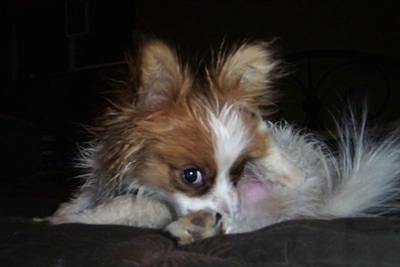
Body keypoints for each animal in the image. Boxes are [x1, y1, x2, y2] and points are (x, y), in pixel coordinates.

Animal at [48, 37, 400, 245]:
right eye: (191, 176)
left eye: (238, 173)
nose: (230, 211)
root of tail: (325, 202)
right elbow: (88, 200)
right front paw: (70, 209)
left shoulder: (151, 203)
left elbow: (119, 208)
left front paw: (64, 219)